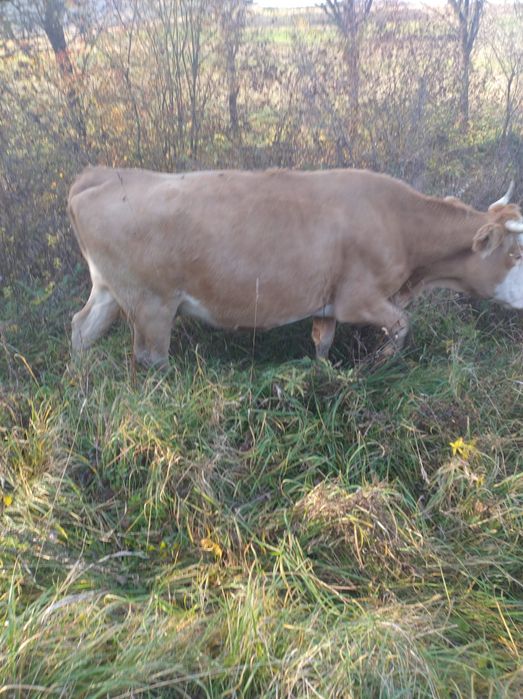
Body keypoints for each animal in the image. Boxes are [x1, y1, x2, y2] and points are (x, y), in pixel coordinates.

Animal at [68, 167, 523, 368]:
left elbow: (322, 343)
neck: (398, 221)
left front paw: (323, 376)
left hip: (109, 292)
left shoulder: (327, 303)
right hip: (152, 305)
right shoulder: (358, 300)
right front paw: (378, 364)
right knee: (150, 357)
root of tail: (104, 174)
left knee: (81, 327)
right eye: (515, 254)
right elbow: (401, 325)